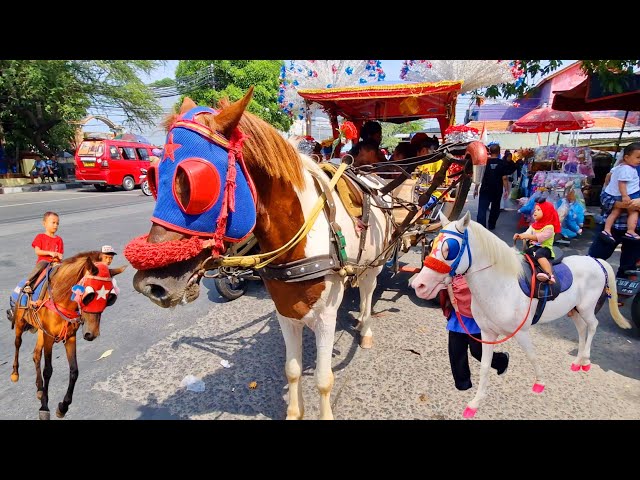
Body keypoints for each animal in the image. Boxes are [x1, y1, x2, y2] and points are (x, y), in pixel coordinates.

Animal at [9, 251, 125, 420]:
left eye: (110, 298)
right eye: (88, 295)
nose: (92, 334)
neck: (61, 299)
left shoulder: (70, 337)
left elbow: (74, 371)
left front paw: (63, 406)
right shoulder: (49, 337)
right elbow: (48, 370)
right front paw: (44, 407)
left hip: (41, 331)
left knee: (36, 355)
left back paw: (39, 388)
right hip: (19, 322)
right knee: (17, 344)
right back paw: (15, 373)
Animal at [125, 89, 396, 416]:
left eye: (194, 185)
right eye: (153, 178)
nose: (151, 285)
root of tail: (373, 179)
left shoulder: (326, 316)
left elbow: (323, 379)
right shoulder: (285, 310)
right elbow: (292, 369)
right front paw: (294, 412)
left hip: (373, 264)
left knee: (368, 294)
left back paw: (365, 329)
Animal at [410, 210, 632, 416]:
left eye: (449, 249)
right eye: (432, 245)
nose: (419, 285)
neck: (501, 286)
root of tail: (596, 261)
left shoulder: (521, 332)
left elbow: (532, 356)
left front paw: (540, 383)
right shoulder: (487, 333)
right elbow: (484, 366)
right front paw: (475, 403)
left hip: (586, 308)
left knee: (592, 326)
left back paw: (585, 360)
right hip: (574, 310)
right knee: (581, 330)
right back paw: (577, 362)